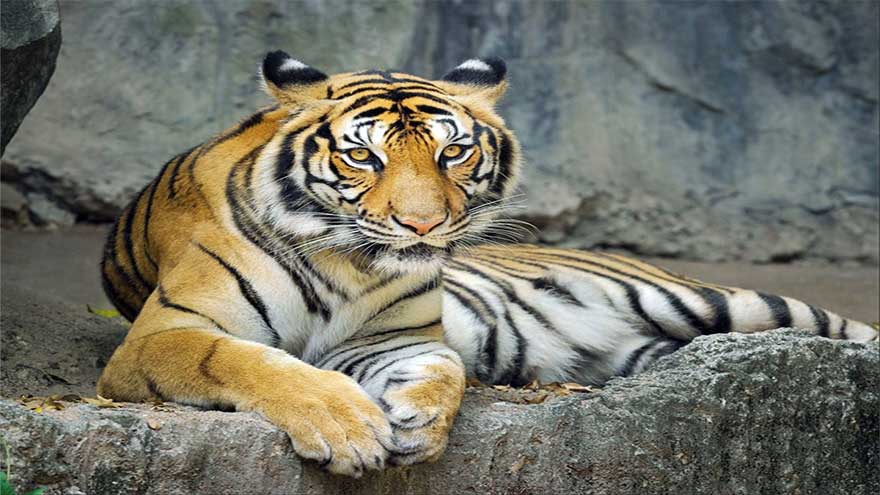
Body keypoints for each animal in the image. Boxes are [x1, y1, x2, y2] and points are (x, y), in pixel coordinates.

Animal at [97, 51, 879, 477]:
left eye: (453, 152)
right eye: (362, 156)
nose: (422, 223)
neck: (350, 265)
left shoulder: (393, 339)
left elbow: (442, 368)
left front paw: (417, 422)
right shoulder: (159, 337)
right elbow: (251, 361)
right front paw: (346, 426)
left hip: (723, 303)